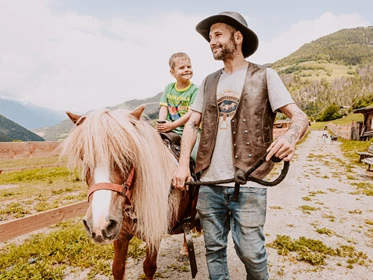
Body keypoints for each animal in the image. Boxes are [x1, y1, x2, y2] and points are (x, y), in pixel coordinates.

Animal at [58, 106, 198, 278]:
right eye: (83, 156)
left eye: (126, 155)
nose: (99, 224)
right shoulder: (120, 236)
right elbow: (117, 268)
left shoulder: (154, 235)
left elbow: (149, 267)